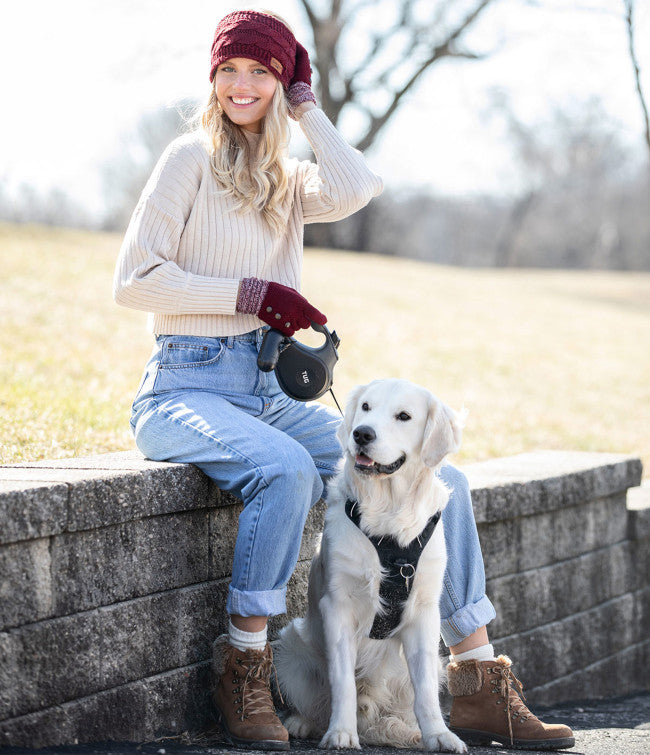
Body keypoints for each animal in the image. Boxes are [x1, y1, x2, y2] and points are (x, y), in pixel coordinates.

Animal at [272, 380, 466, 752]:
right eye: (365, 407)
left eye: (403, 416)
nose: (362, 433)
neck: (387, 511)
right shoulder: (338, 606)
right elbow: (343, 682)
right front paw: (341, 733)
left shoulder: (424, 612)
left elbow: (425, 692)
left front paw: (438, 735)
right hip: (291, 645)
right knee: (314, 703)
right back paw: (303, 723)